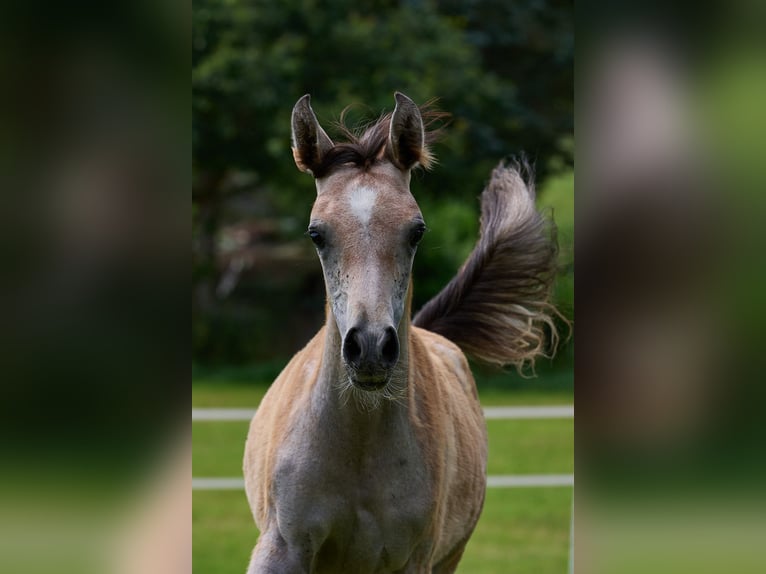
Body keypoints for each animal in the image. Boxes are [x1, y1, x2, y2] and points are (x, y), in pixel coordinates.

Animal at [244, 92, 560, 572]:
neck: (358, 446)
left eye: (417, 231)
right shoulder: (281, 546)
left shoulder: (415, 559)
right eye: (316, 234)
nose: (371, 348)